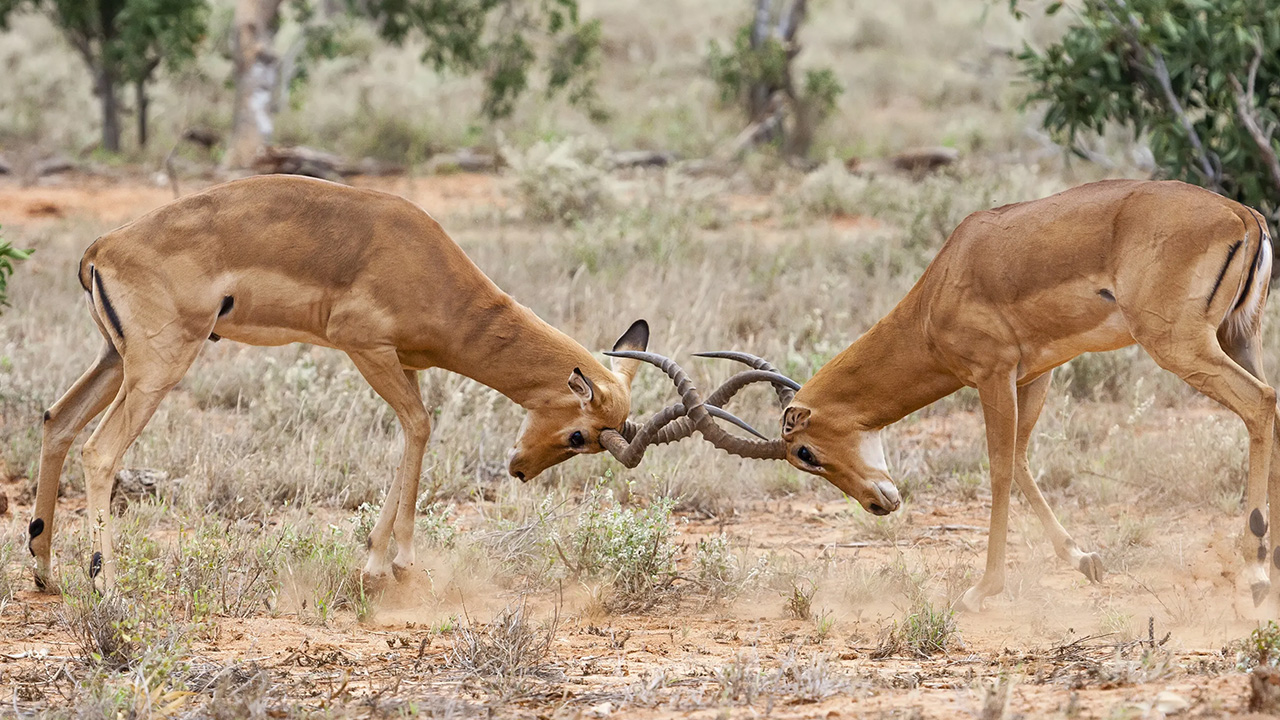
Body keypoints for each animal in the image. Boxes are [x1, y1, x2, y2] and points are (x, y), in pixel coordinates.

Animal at [32, 172, 788, 589]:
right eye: (581, 436)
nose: (518, 469)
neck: (424, 262)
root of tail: (102, 248)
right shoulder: (364, 347)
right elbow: (420, 428)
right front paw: (391, 565)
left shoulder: (407, 364)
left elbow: (415, 433)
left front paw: (383, 565)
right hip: (161, 364)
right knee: (101, 451)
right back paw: (105, 585)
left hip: (115, 360)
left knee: (57, 422)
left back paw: (43, 572)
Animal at [616, 179, 1269, 609]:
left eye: (804, 453)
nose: (879, 504)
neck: (940, 291)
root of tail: (1243, 216)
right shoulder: (1036, 373)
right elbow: (1024, 462)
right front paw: (1085, 561)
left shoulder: (993, 373)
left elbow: (999, 468)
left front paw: (983, 589)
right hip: (1238, 337)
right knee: (1269, 409)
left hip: (1181, 345)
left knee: (1261, 407)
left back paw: (1258, 574)